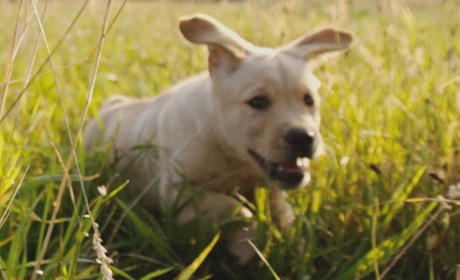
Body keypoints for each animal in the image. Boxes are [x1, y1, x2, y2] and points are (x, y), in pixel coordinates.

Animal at [84, 14, 354, 264]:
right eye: (258, 102)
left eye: (309, 100)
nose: (303, 137)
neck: (233, 156)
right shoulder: (180, 197)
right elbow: (235, 209)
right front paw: (249, 248)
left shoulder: (272, 190)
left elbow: (285, 217)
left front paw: (298, 252)